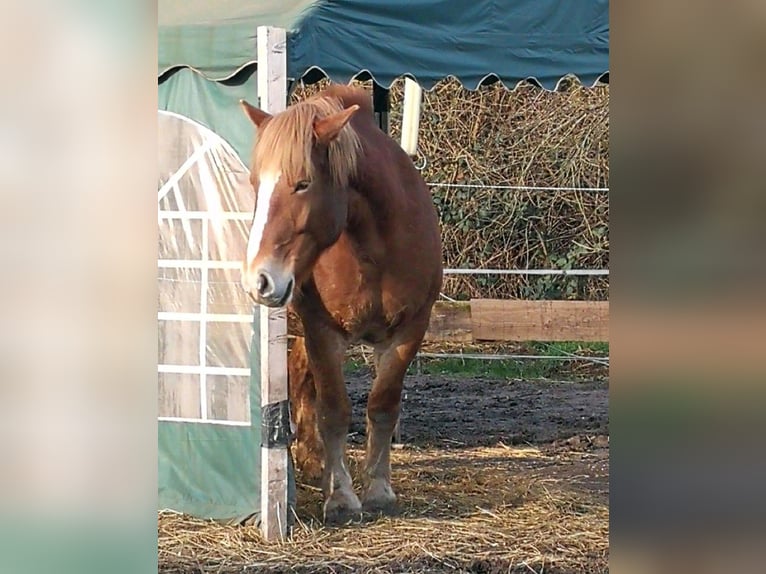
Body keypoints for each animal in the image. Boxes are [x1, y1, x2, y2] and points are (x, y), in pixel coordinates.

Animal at [239, 84, 442, 524]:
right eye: (255, 182)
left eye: (302, 183)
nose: (258, 279)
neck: (375, 248)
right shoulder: (323, 332)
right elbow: (333, 408)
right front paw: (342, 496)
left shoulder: (409, 329)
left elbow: (382, 405)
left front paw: (379, 489)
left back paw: (311, 461)